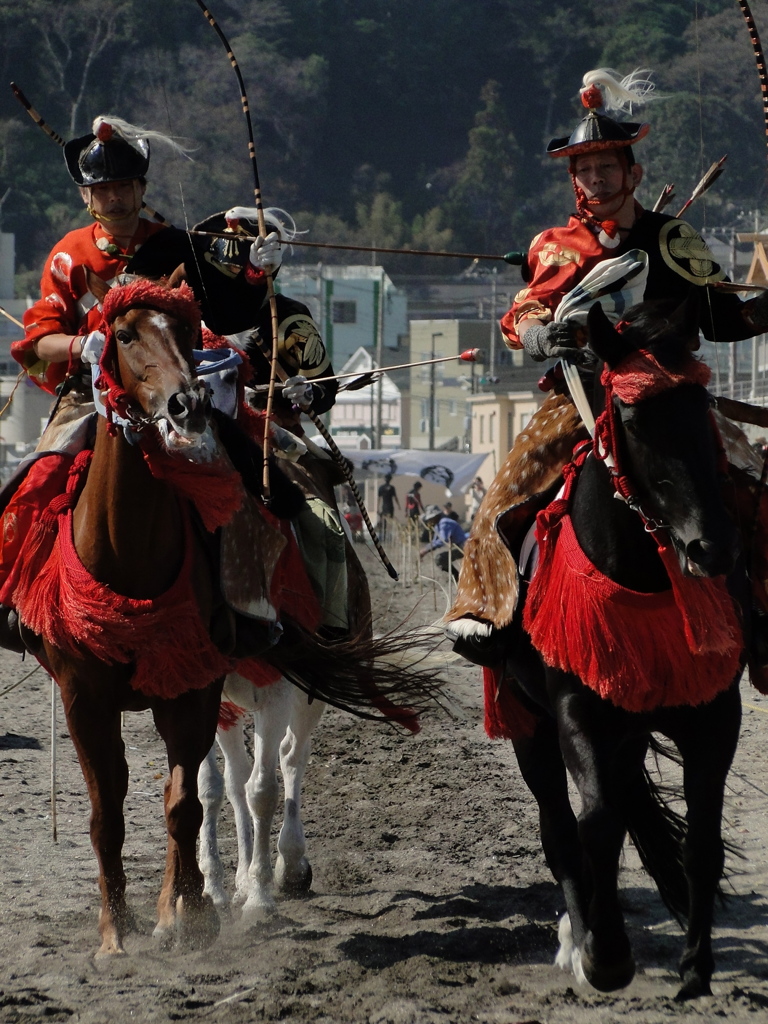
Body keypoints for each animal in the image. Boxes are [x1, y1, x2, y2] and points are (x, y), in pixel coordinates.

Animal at [198, 667, 325, 925]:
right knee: (237, 778)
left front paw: (259, 901)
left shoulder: (275, 692)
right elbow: (209, 785)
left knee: (291, 753)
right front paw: (213, 891)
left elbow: (262, 791)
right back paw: (243, 881)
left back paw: (291, 864)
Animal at [501, 294, 749, 999]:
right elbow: (596, 824)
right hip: (526, 719)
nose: (711, 546)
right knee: (561, 829)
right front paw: (606, 956)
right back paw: (580, 941)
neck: (642, 572)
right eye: (634, 419)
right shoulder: (573, 709)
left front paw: (695, 968)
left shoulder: (714, 713)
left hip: (631, 728)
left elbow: (703, 838)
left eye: (703, 406)